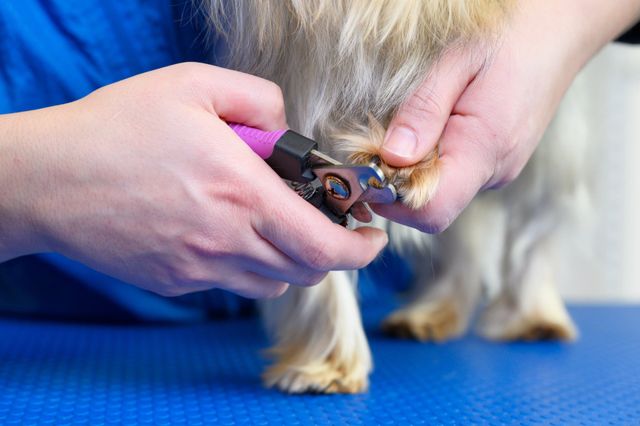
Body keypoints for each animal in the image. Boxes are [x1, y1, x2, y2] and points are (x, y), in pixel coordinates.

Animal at [206, 0, 580, 392]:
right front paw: (329, 362)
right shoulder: (303, 84)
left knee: (534, 223)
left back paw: (534, 317)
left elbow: (536, 226)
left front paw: (411, 164)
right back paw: (432, 312)